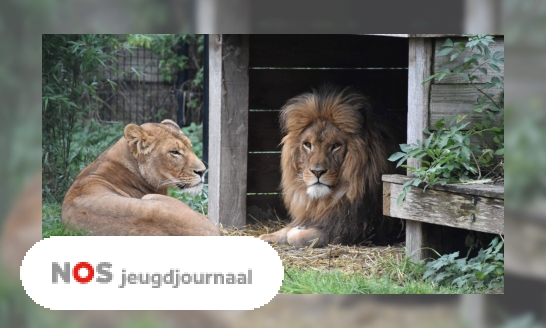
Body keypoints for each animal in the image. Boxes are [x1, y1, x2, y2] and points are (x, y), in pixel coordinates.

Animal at [258, 87, 394, 246]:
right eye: (308, 144)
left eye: (336, 146)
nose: (317, 172)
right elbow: (284, 230)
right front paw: (265, 236)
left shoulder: (347, 231)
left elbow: (296, 236)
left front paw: (296, 231)